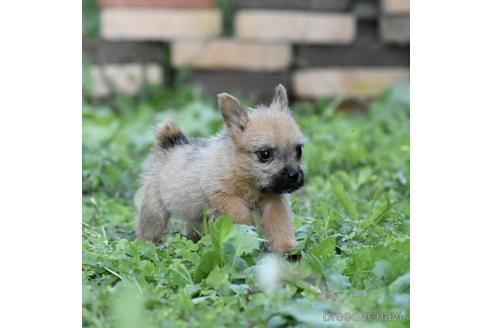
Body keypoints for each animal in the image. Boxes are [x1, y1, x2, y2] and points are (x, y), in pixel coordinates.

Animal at [136, 84, 306, 254]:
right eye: (265, 154)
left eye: (299, 150)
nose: (294, 176)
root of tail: (170, 143)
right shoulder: (221, 195)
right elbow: (240, 212)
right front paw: (247, 231)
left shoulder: (273, 202)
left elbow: (280, 225)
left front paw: (288, 249)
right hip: (154, 211)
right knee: (148, 231)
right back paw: (144, 246)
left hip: (195, 216)